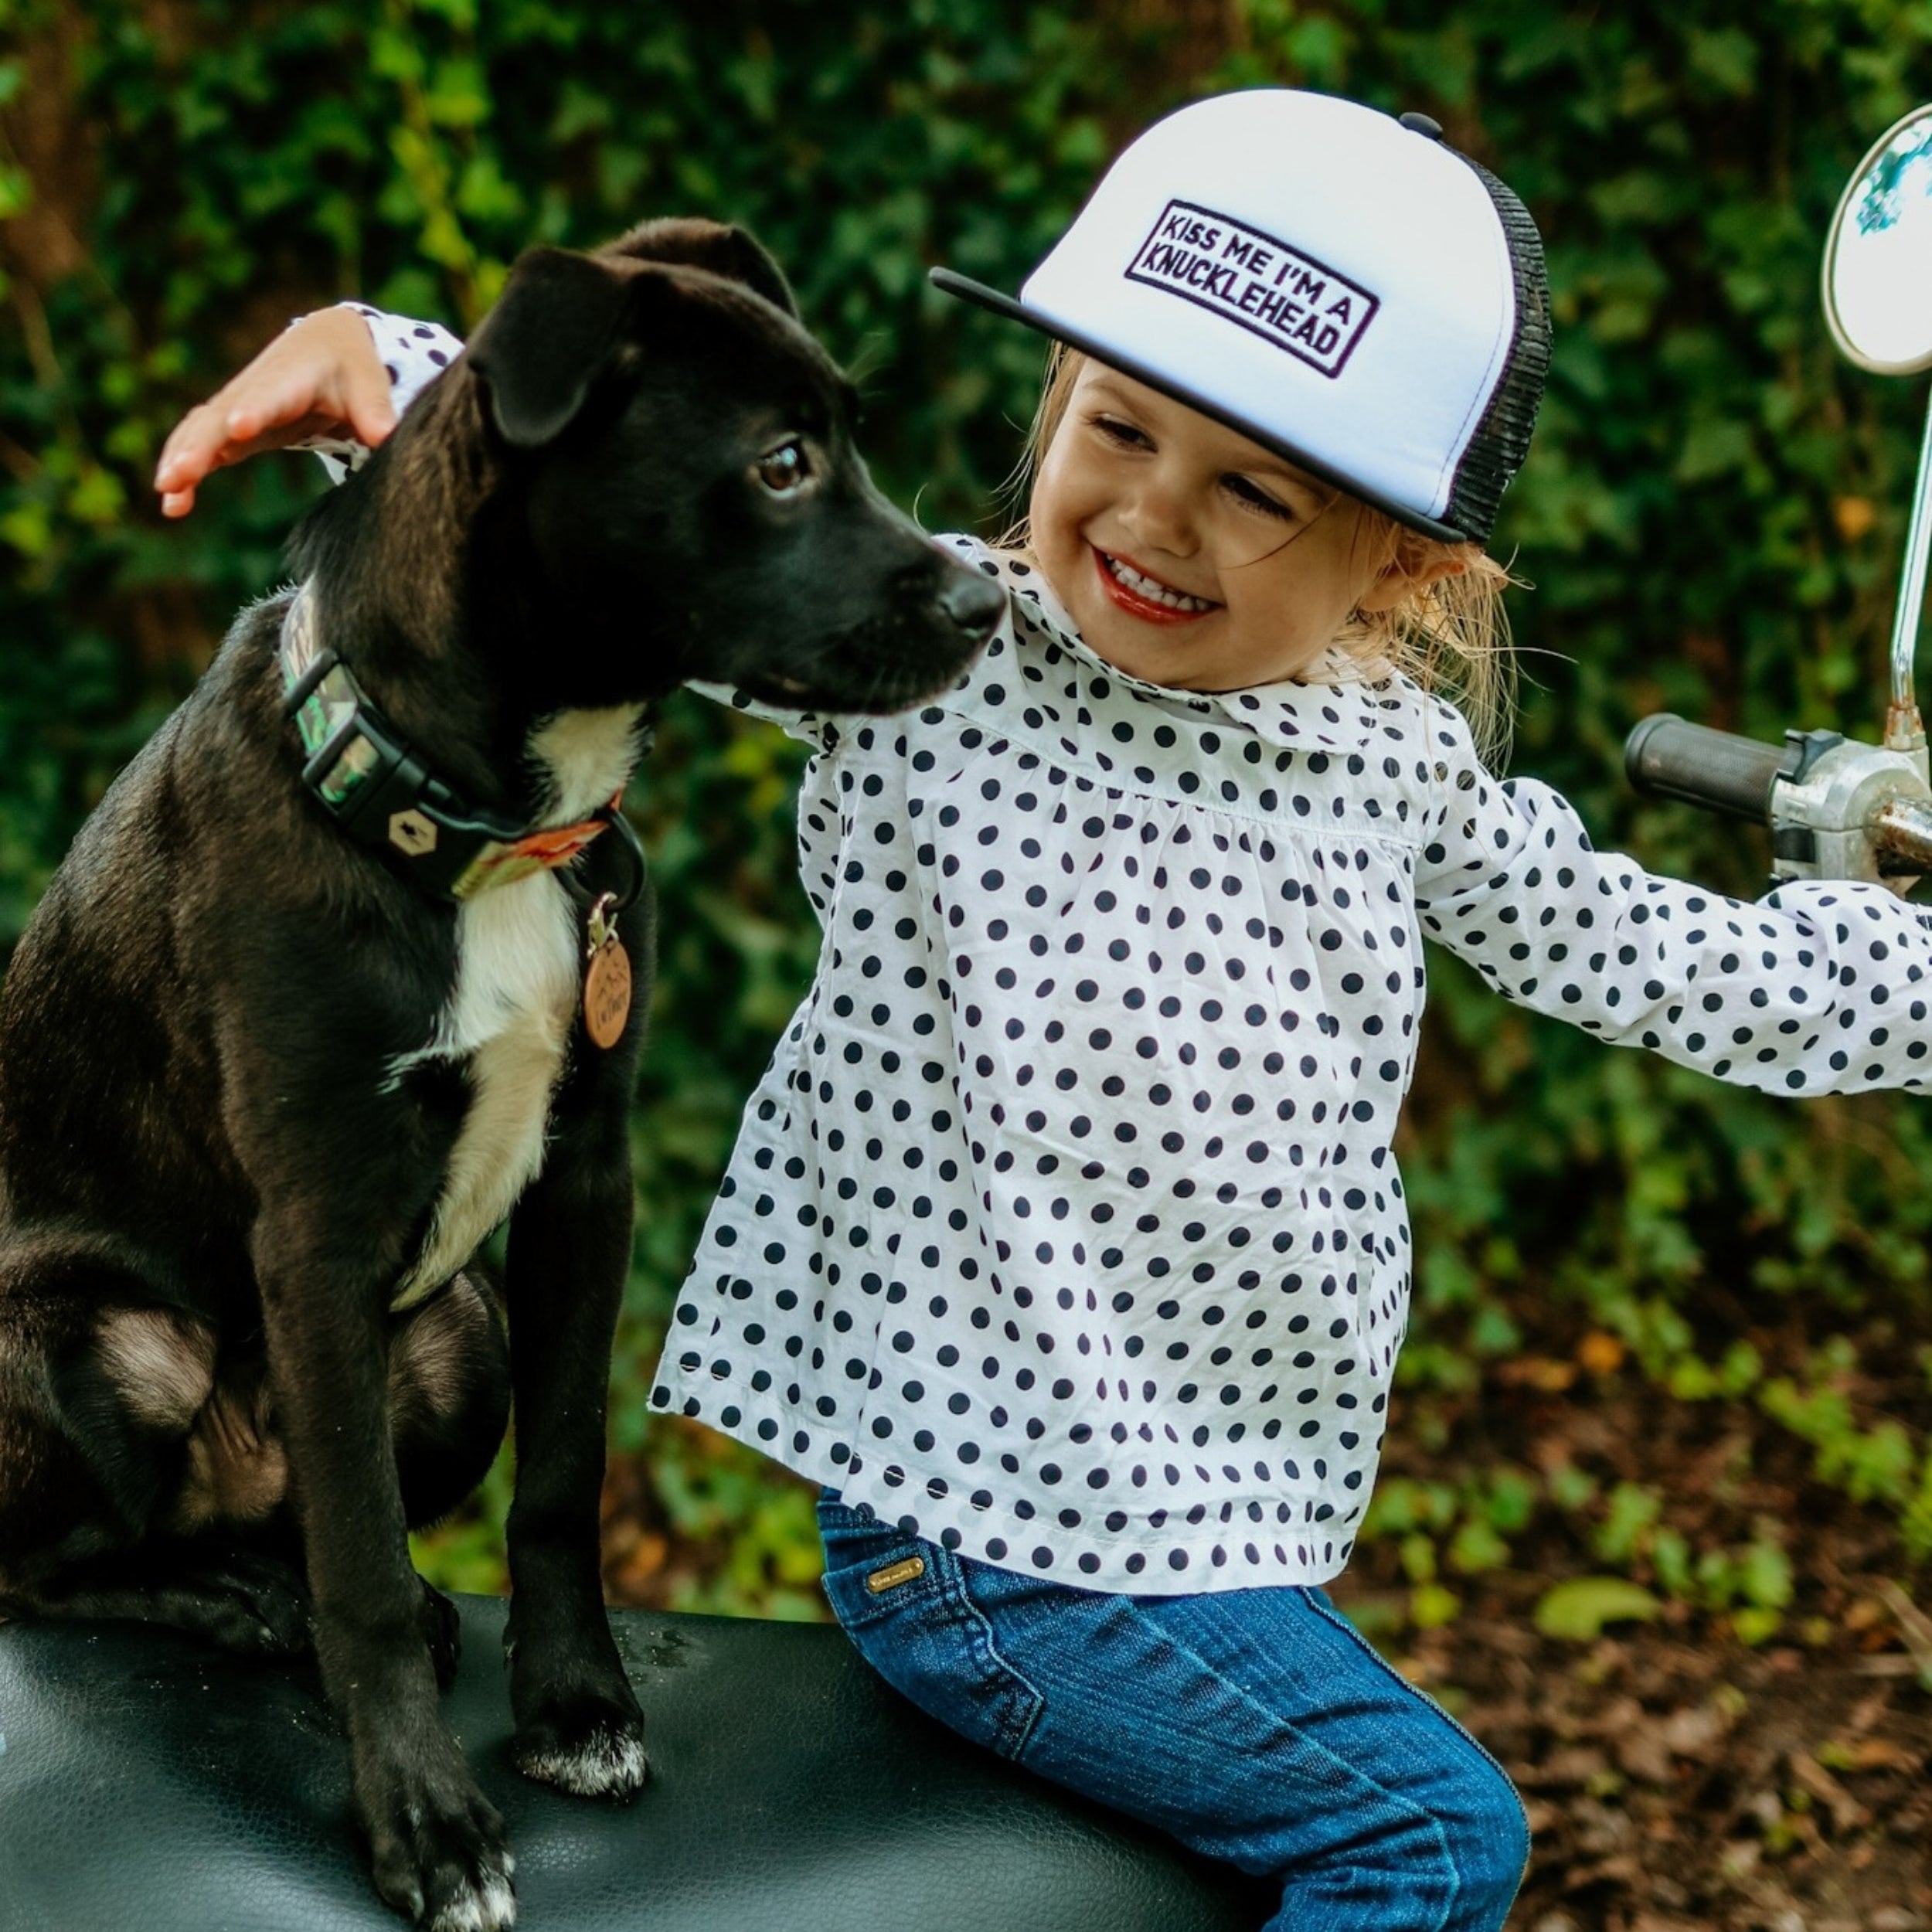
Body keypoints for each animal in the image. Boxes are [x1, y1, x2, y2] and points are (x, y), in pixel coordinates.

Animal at [0, 217, 1004, 1931]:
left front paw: (576, 1706)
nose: (983, 600)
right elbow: (352, 1559)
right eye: (784, 462)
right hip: (95, 1343)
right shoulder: (315, 1231)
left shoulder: (586, 1177)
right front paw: (424, 1820)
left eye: (852, 439)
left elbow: (560, 1476)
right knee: (64, 1564)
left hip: (455, 1335)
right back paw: (227, 1597)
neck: (475, 826)